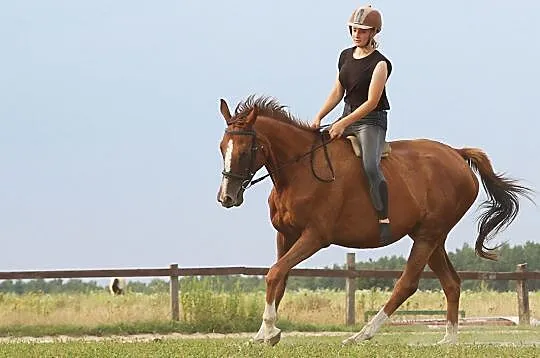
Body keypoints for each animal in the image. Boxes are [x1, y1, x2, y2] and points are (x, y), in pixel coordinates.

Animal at [215, 96, 532, 346]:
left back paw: (362, 335)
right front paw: (264, 333)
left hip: (428, 235)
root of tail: (456, 154)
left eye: (245, 150)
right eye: (222, 147)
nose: (226, 197)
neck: (299, 171)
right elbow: (279, 278)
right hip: (431, 237)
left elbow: (274, 273)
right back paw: (449, 340)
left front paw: (269, 331)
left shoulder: (314, 237)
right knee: (451, 283)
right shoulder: (285, 235)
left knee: (407, 283)